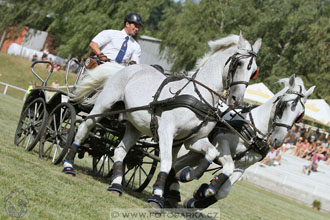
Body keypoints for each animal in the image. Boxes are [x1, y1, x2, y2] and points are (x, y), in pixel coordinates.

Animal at [63, 32, 262, 210]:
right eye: (239, 63)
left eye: (254, 71)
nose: (237, 99)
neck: (198, 96)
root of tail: (124, 69)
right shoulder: (166, 132)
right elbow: (166, 162)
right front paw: (157, 196)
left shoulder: (194, 140)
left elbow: (211, 153)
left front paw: (189, 175)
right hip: (102, 107)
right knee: (83, 129)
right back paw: (68, 165)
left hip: (135, 125)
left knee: (119, 150)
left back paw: (117, 185)